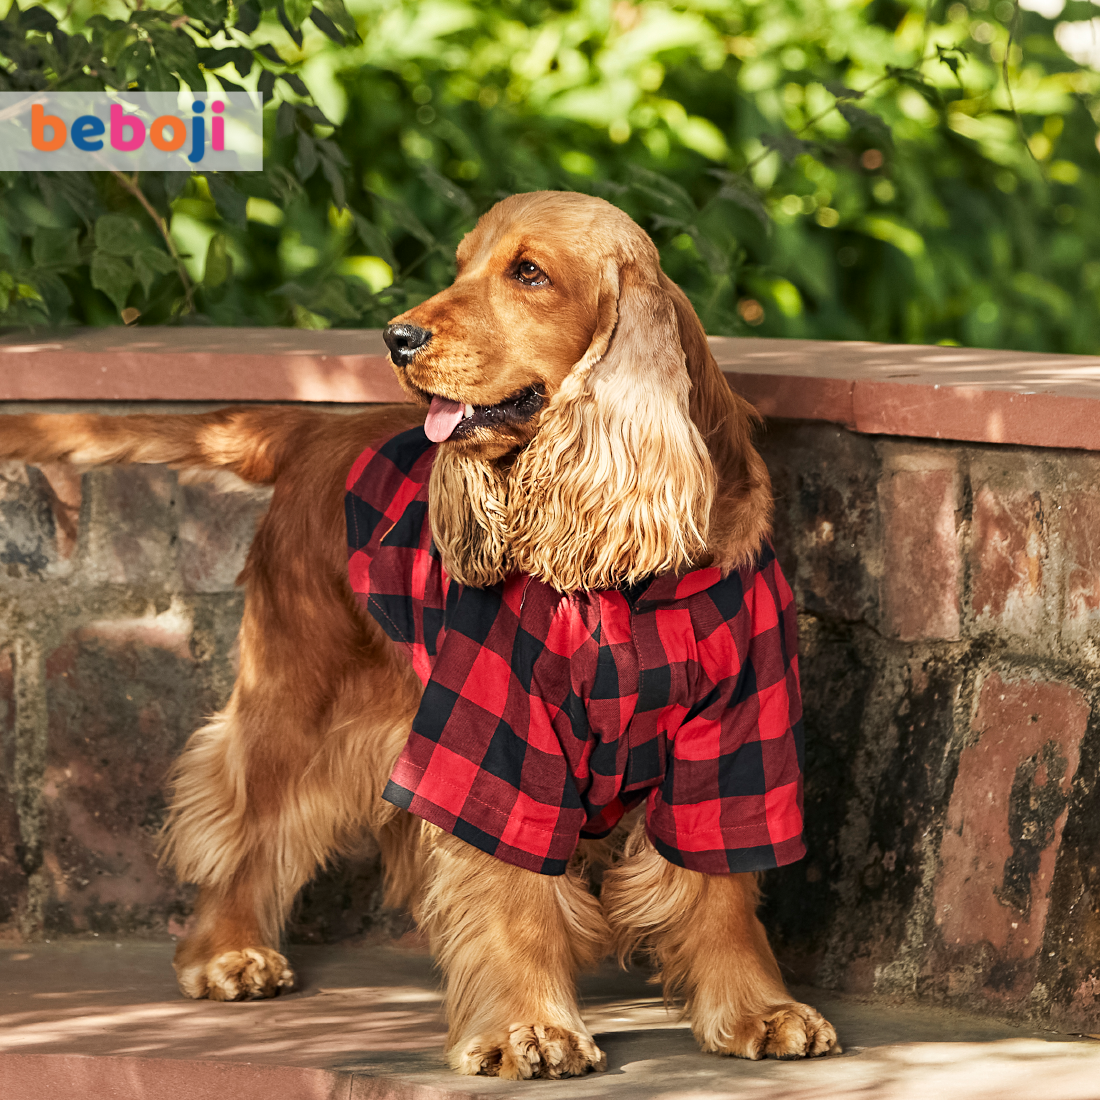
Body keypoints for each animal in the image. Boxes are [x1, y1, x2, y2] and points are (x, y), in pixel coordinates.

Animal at [0, 191, 836, 1082]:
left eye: (529, 272)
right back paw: (227, 950)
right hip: (296, 689)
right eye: (461, 265)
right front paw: (528, 1028)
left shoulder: (738, 730)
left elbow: (719, 887)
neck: (627, 578)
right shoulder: (503, 731)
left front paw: (759, 1010)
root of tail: (313, 437)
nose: (396, 338)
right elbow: (512, 887)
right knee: (245, 815)